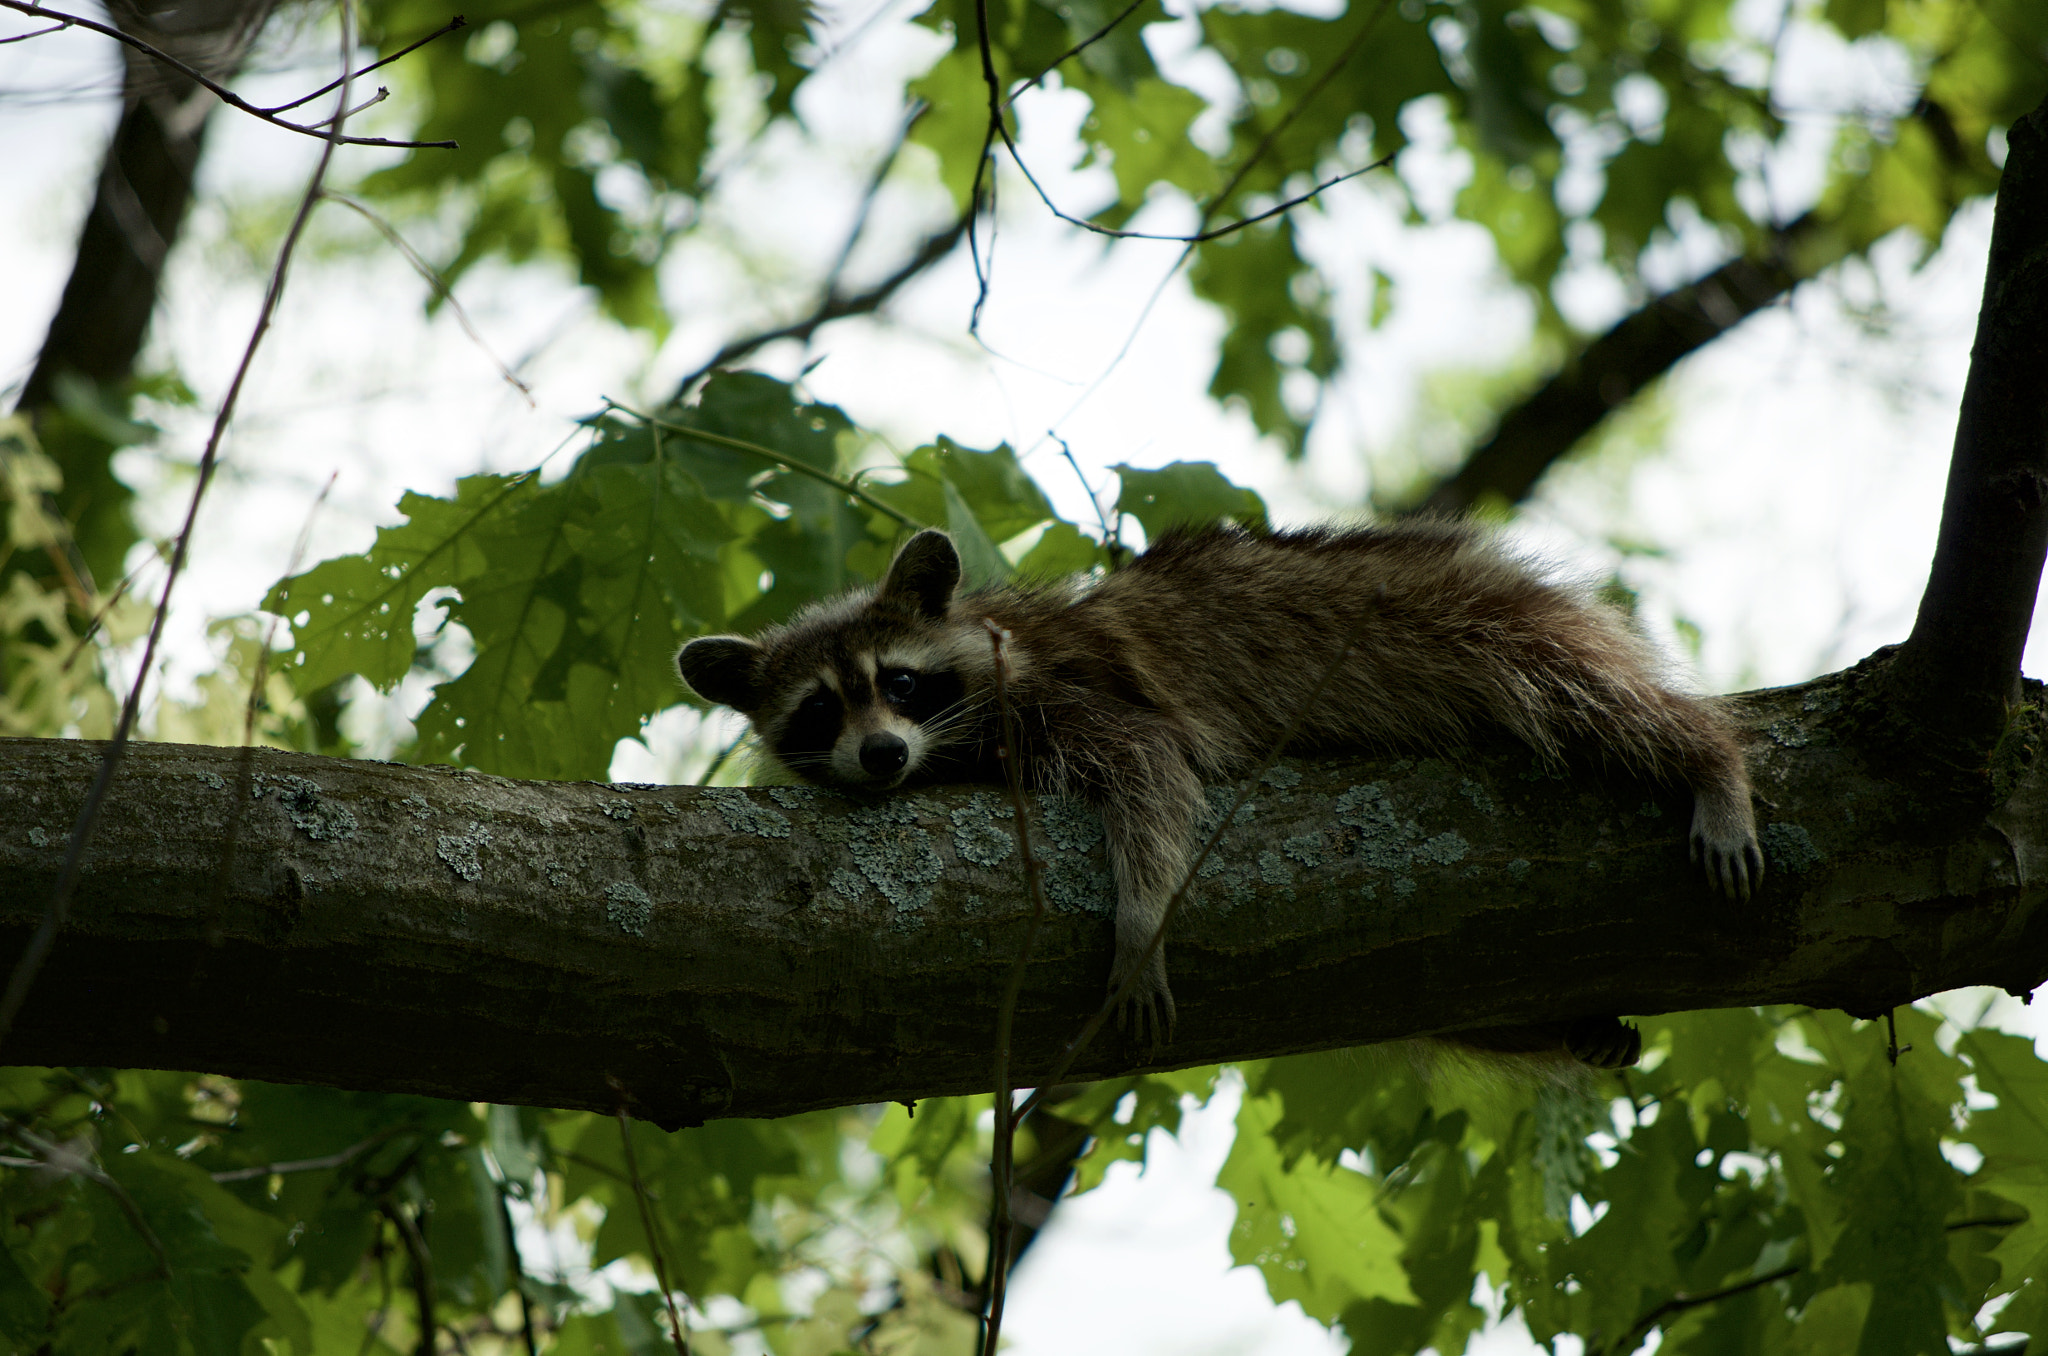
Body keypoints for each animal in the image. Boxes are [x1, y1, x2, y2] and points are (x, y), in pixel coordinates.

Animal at [679, 522, 1769, 1065]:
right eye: (820, 710)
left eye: (899, 684)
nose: (878, 757)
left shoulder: (1067, 694)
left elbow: (1154, 770)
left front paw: (1140, 921)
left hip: (1476, 618)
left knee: (1593, 695)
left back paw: (1708, 759)